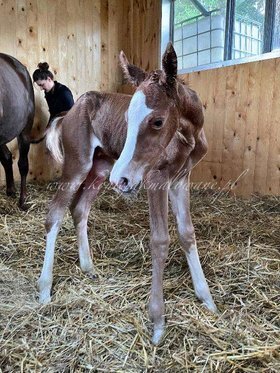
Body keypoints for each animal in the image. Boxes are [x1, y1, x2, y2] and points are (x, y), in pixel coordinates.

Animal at [37, 42, 217, 342]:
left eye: (157, 121)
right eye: (127, 119)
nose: (121, 180)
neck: (188, 135)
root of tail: (68, 113)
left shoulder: (181, 178)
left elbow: (187, 233)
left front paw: (207, 299)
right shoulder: (156, 178)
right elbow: (160, 239)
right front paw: (158, 321)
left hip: (100, 169)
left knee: (79, 208)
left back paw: (88, 268)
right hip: (78, 165)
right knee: (55, 213)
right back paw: (44, 289)